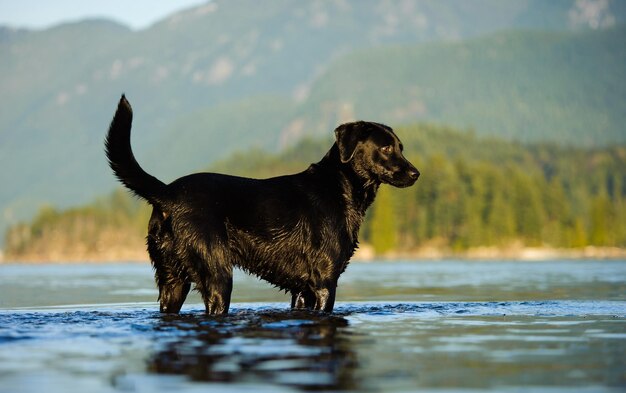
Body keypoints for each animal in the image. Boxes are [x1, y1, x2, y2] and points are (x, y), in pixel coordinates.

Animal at [105, 94, 416, 312]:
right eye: (386, 147)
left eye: (401, 147)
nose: (416, 173)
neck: (339, 187)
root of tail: (167, 193)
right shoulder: (324, 283)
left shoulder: (301, 291)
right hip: (217, 277)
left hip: (173, 282)